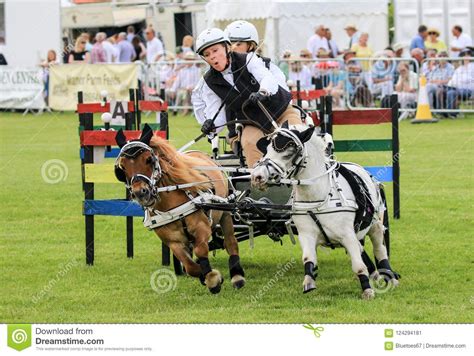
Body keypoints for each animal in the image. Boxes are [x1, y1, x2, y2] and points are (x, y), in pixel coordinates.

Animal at [114, 124, 244, 294]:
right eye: (122, 167)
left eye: (149, 159)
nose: (140, 193)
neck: (171, 206)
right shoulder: (172, 241)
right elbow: (189, 266)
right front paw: (208, 276)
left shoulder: (201, 228)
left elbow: (201, 251)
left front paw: (213, 279)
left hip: (225, 212)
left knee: (230, 242)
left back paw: (237, 276)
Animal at [252, 123, 400, 300]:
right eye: (267, 149)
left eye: (289, 152)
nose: (257, 176)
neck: (317, 197)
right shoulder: (306, 235)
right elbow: (308, 259)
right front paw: (309, 282)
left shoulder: (347, 235)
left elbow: (358, 264)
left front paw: (367, 290)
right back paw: (375, 274)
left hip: (375, 225)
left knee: (380, 249)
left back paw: (389, 276)